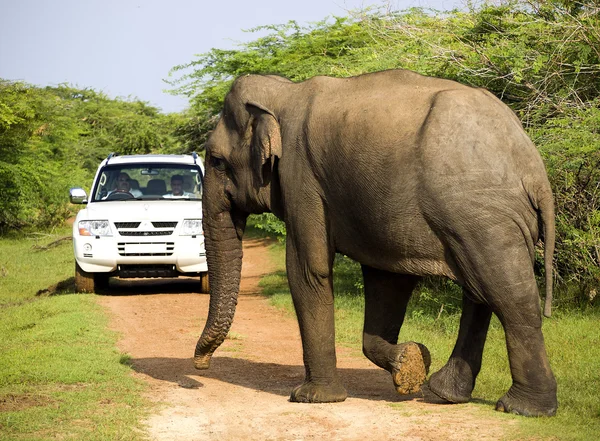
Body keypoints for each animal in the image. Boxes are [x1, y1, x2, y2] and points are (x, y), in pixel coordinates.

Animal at [195, 69, 560, 416]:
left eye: (216, 161)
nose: (201, 365)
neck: (284, 92)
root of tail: (534, 168)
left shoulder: (301, 177)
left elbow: (307, 270)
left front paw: (312, 397)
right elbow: (388, 281)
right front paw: (411, 362)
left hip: (482, 212)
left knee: (510, 297)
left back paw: (523, 408)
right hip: (487, 217)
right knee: (480, 291)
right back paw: (447, 393)